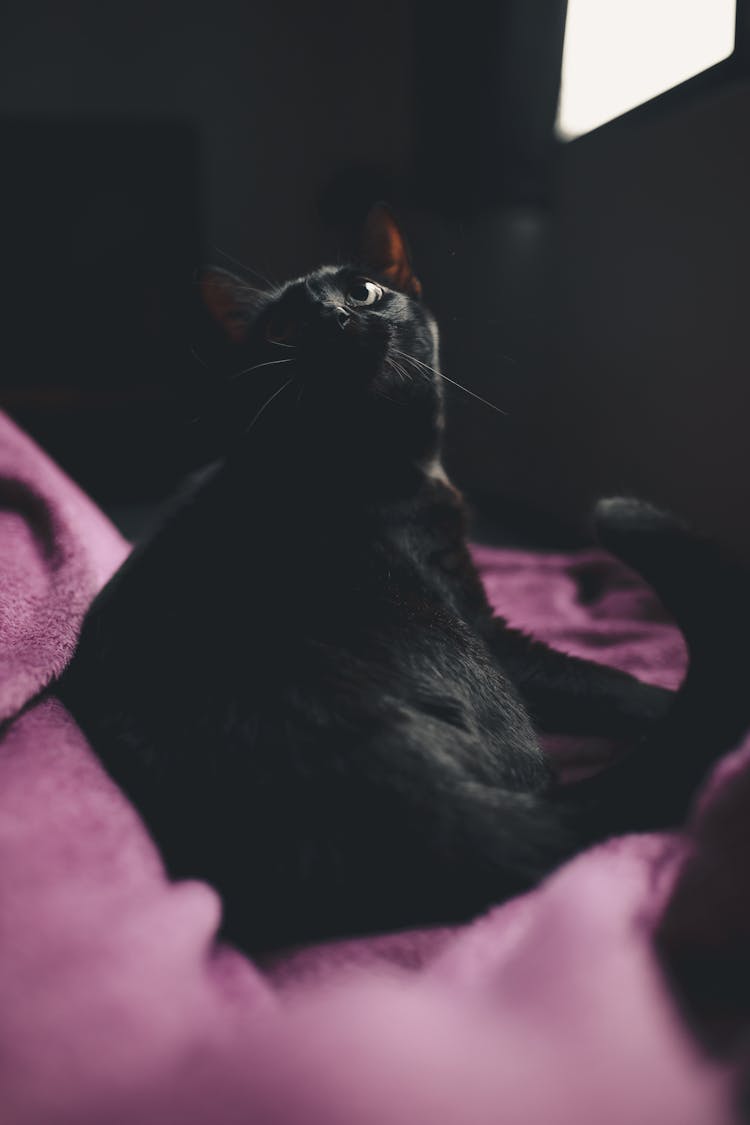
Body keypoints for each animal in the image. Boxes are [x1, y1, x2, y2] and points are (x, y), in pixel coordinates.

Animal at [57, 207, 750, 954]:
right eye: (283, 326)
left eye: (363, 290)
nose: (334, 318)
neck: (380, 458)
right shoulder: (486, 623)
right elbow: (605, 681)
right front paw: (652, 698)